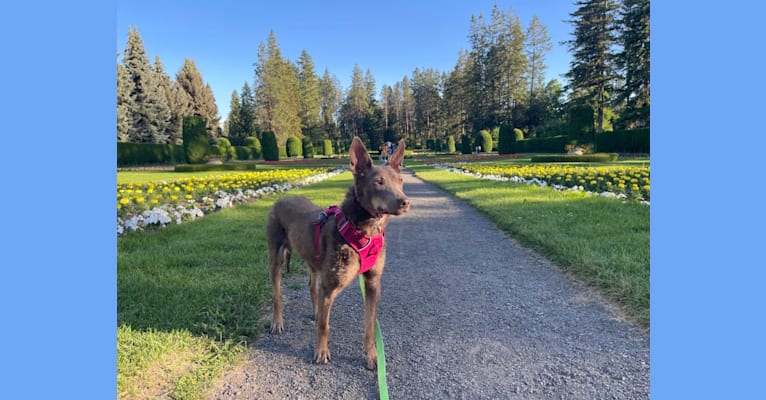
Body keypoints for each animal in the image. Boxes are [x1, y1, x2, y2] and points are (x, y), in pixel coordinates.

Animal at [270, 136, 414, 368]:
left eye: (400, 181)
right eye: (378, 182)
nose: (405, 202)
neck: (363, 230)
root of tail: (281, 198)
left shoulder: (373, 282)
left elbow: (369, 325)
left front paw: (372, 356)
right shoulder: (330, 285)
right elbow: (324, 325)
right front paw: (321, 352)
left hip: (313, 259)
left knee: (312, 285)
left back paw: (315, 311)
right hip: (276, 257)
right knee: (277, 294)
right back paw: (277, 322)